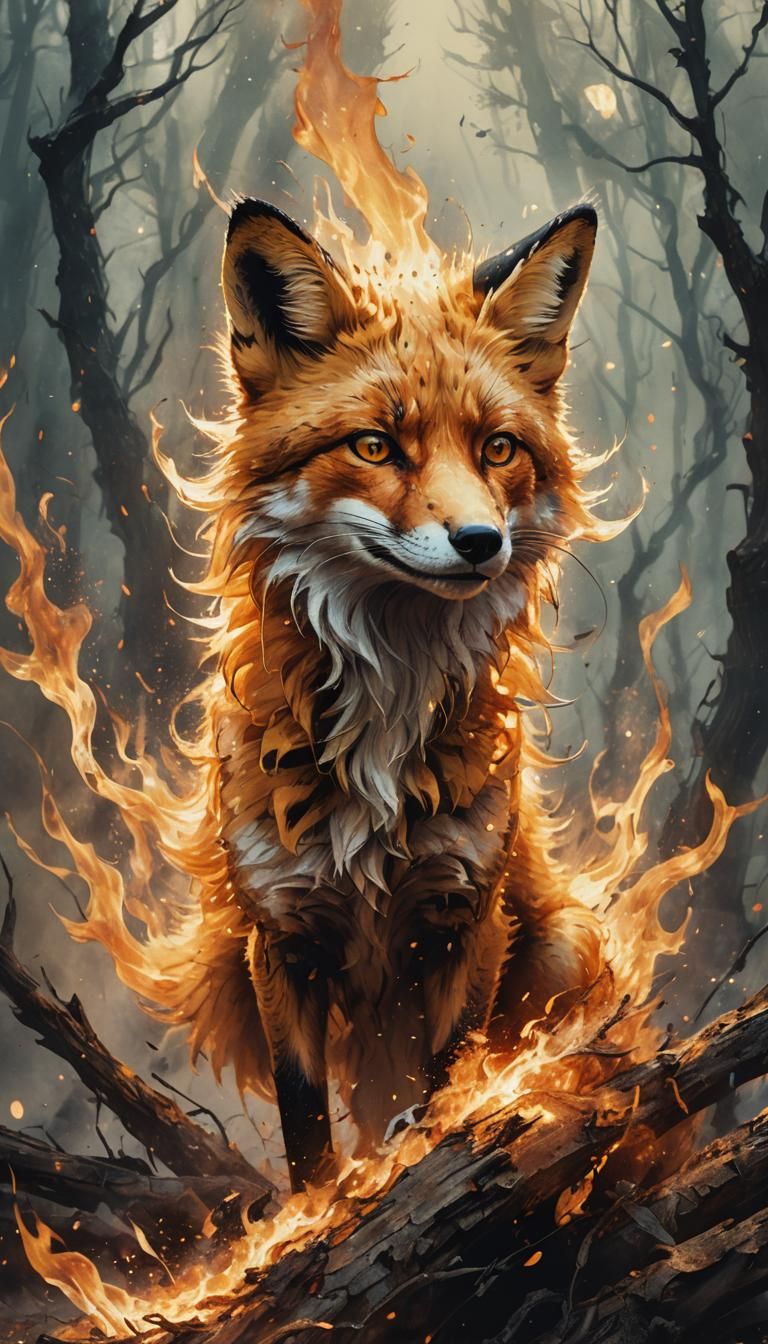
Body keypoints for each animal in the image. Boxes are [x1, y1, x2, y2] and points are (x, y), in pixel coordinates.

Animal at [168, 198, 607, 1192]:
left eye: (497, 449)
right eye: (375, 446)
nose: (481, 542)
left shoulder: (465, 918)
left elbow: (449, 1080)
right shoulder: (279, 936)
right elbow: (306, 1132)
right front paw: (321, 1216)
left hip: (567, 946)